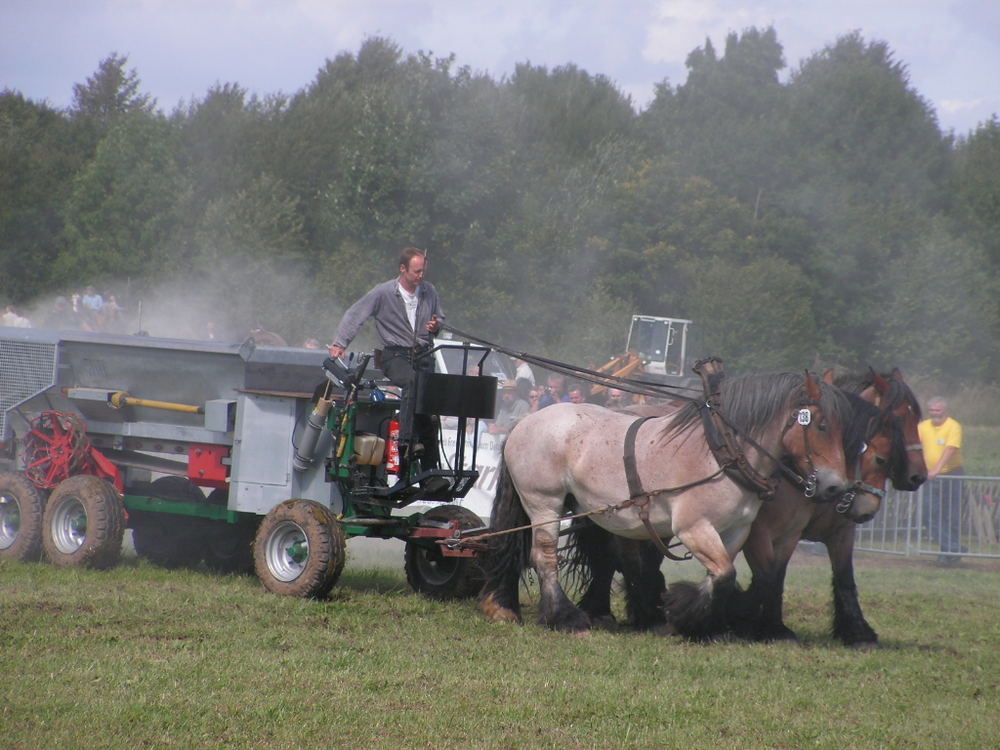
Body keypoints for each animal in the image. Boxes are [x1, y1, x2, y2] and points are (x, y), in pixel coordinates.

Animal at [478, 370, 852, 640]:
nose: (837, 486)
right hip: (544, 501)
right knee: (544, 556)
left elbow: (721, 575)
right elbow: (723, 574)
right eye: (821, 426)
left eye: (844, 430)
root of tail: (525, 422)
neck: (719, 453)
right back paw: (564, 616)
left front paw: (697, 620)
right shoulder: (693, 527)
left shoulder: (735, 531)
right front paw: (683, 612)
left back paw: (508, 606)